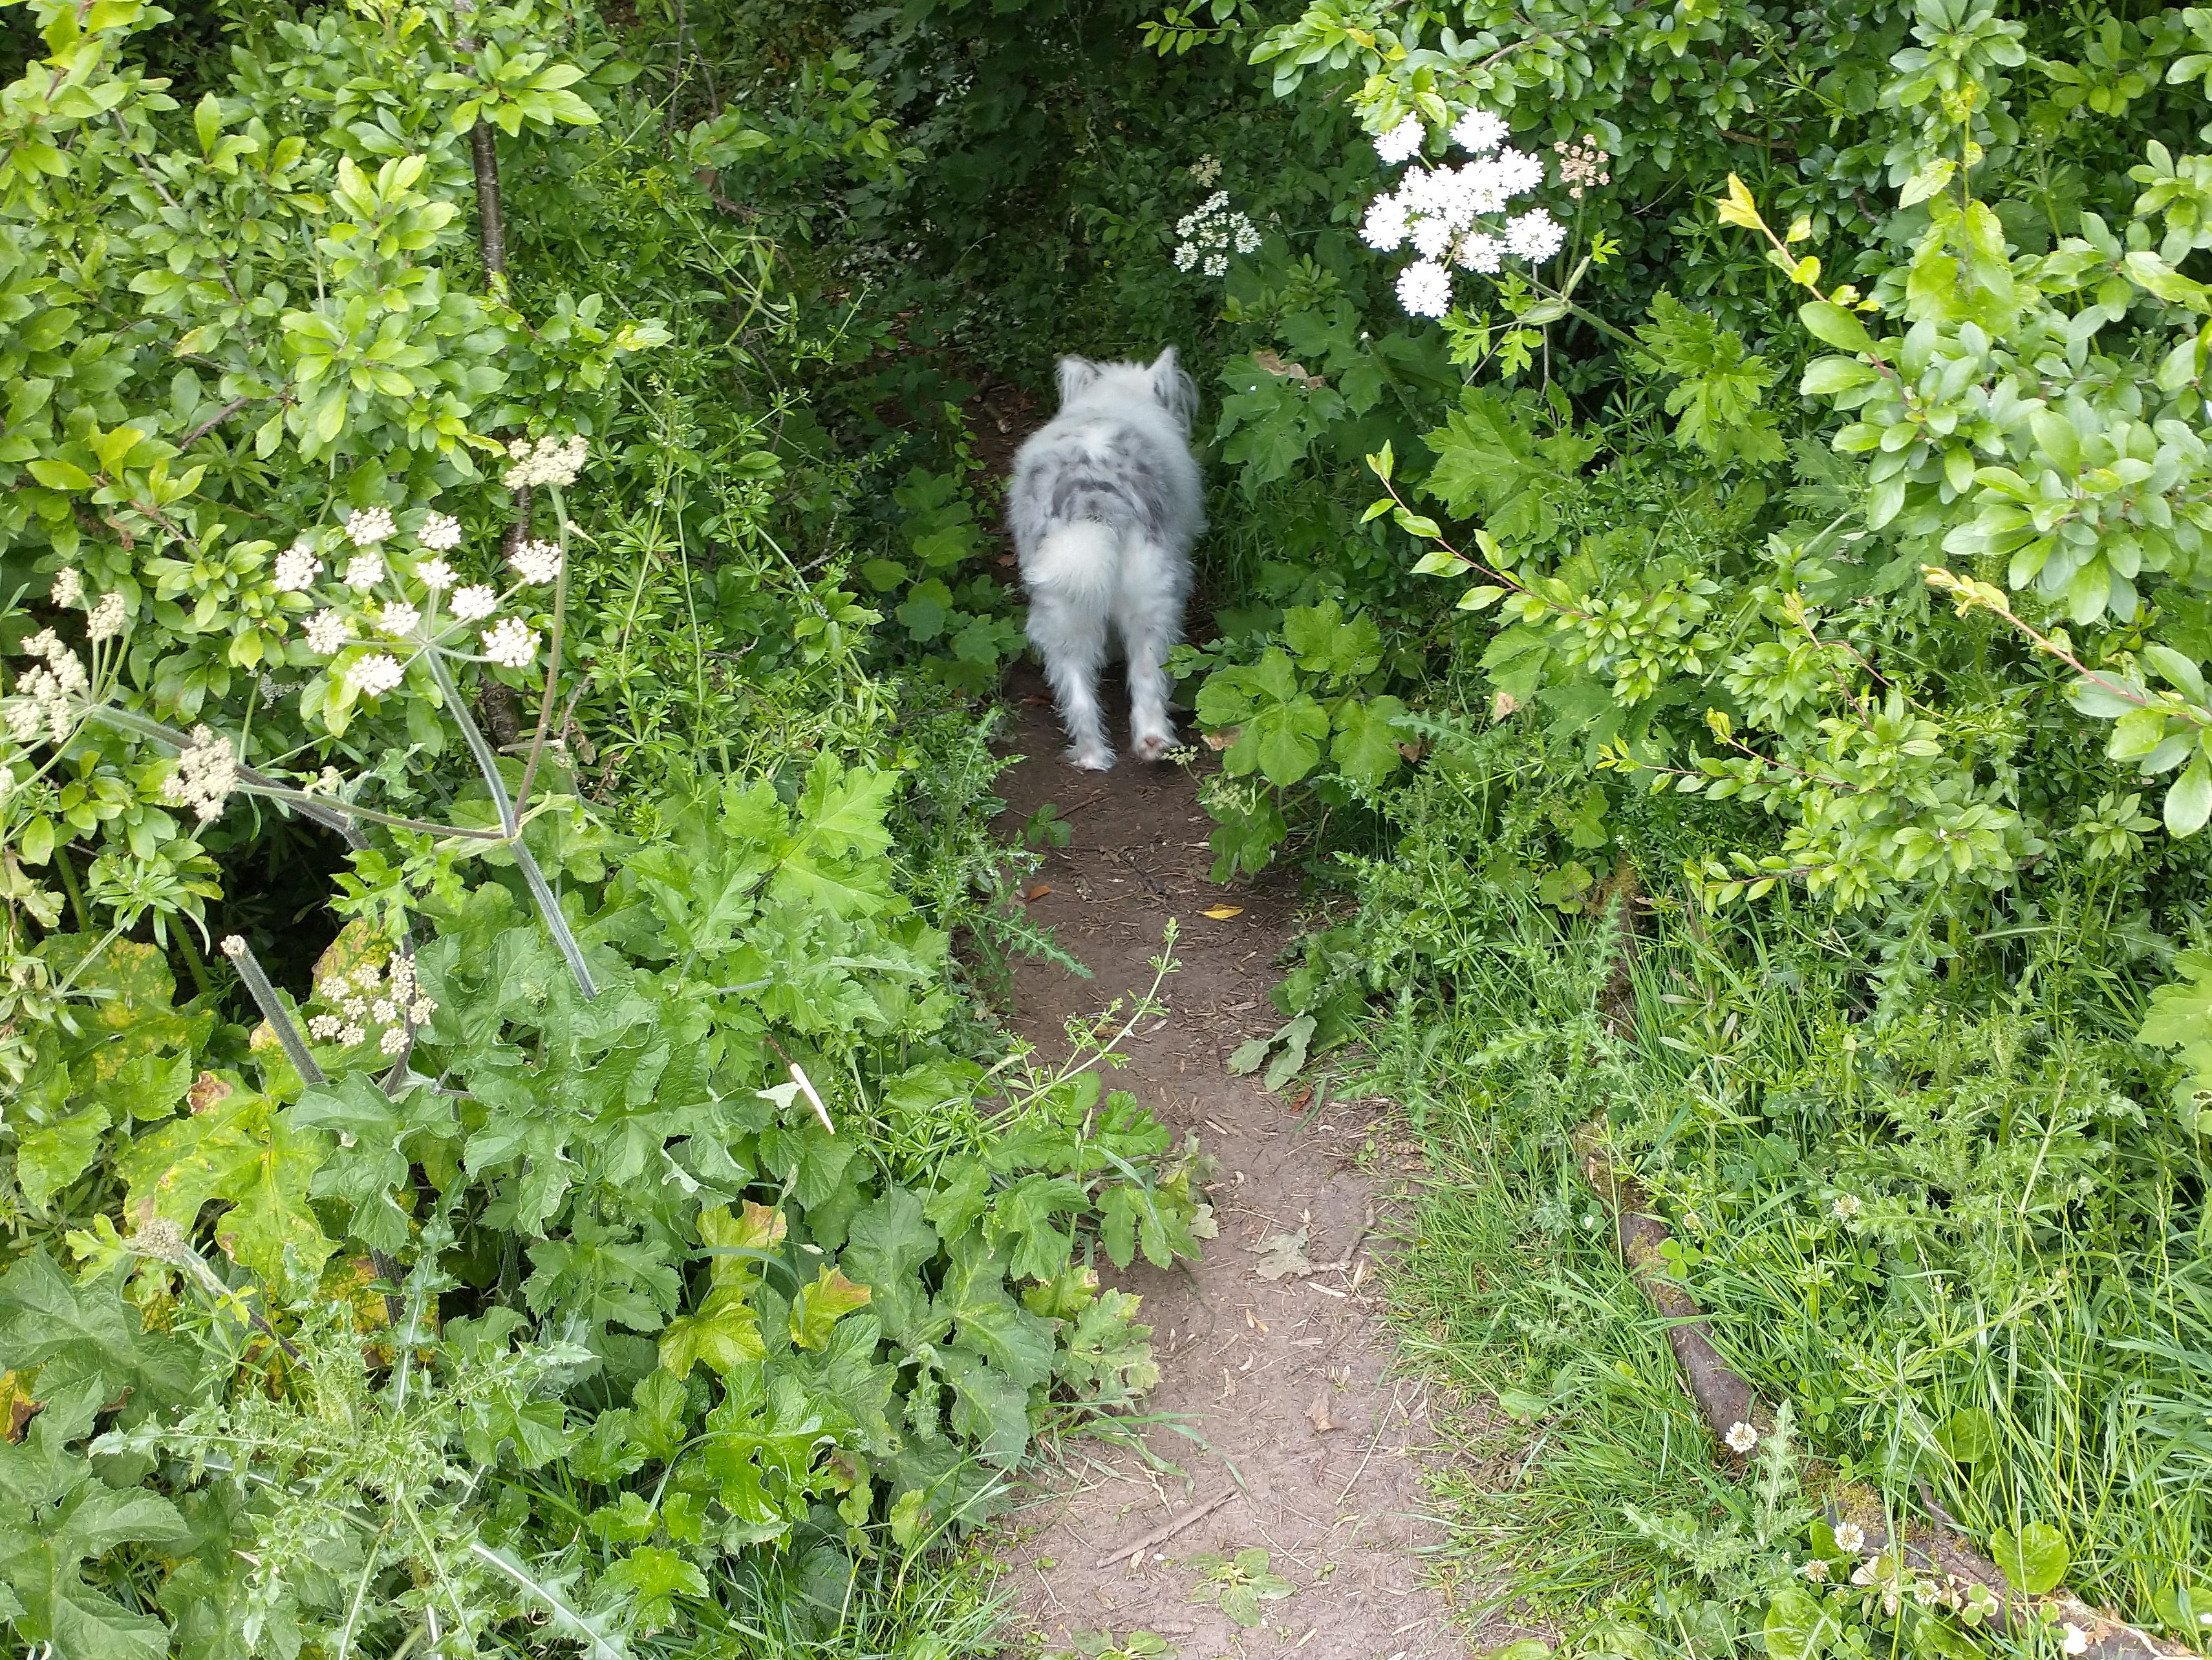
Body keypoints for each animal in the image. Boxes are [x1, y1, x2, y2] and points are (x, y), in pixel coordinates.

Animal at [1007, 347, 1203, 770]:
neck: (1115, 398)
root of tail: (1094, 499)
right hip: (1153, 599)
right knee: (1147, 674)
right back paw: (1152, 742)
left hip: (1061, 610)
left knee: (1078, 691)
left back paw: (1094, 757)